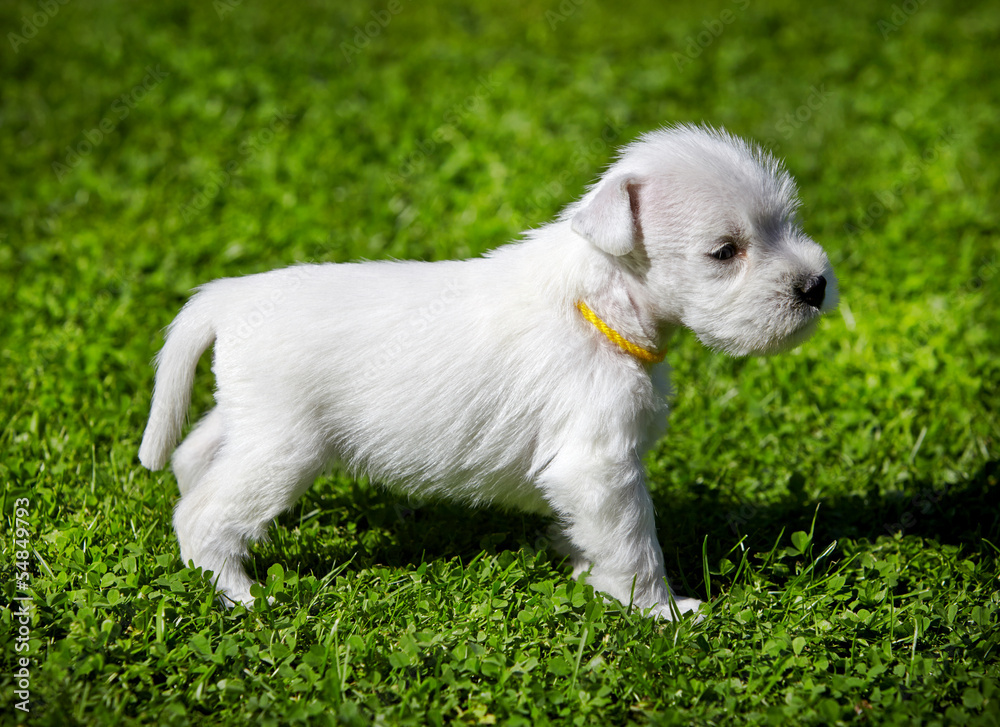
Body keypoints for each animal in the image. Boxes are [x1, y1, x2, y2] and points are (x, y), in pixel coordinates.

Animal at [135, 125, 836, 620]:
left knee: (195, 459)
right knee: (203, 515)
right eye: (724, 251)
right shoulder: (600, 464)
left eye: (786, 222)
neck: (597, 300)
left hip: (247, 421)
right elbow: (634, 540)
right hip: (283, 448)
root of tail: (229, 297)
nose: (815, 286)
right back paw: (241, 594)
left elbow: (593, 533)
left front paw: (586, 573)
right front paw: (660, 610)